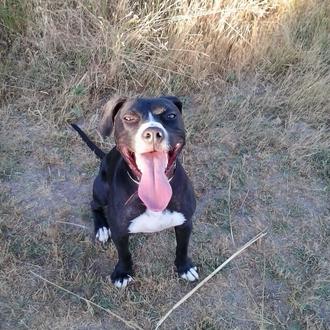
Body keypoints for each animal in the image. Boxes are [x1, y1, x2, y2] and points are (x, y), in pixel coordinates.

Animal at [71, 94, 197, 286]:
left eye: (171, 115)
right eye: (129, 118)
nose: (153, 133)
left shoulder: (185, 222)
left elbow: (182, 248)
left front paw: (184, 267)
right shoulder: (119, 231)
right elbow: (124, 254)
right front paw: (123, 272)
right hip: (101, 190)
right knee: (94, 204)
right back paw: (101, 228)